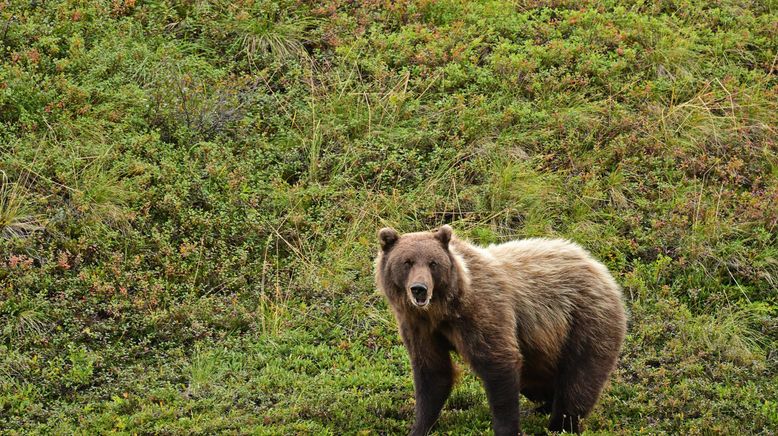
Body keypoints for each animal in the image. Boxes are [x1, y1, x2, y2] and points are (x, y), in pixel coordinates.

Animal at [374, 227, 624, 434]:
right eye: (407, 262)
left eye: (433, 263)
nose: (419, 289)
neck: (443, 310)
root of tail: (598, 265)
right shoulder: (419, 326)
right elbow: (433, 373)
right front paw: (419, 426)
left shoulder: (482, 312)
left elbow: (497, 363)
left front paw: (507, 428)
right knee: (536, 380)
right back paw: (543, 407)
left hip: (585, 320)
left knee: (579, 377)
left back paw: (560, 424)